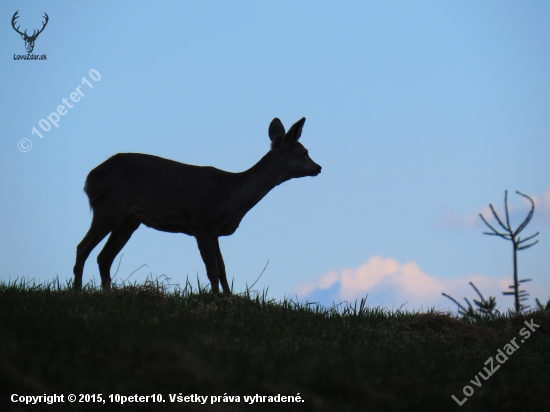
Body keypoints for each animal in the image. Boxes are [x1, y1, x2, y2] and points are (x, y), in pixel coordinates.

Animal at [73, 117, 324, 294]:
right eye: (304, 152)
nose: (319, 167)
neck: (233, 196)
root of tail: (89, 179)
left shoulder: (215, 230)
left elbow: (223, 269)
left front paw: (228, 297)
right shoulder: (203, 223)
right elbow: (212, 270)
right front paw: (215, 299)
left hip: (130, 220)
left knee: (104, 256)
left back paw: (107, 292)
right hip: (110, 207)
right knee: (83, 247)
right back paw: (77, 290)